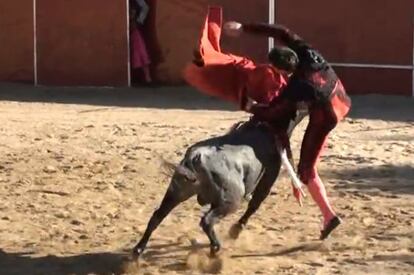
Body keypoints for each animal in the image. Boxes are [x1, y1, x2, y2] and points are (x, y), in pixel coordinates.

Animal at [133, 113, 308, 256]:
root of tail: (195, 157)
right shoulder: (270, 175)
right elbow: (255, 203)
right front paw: (236, 230)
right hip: (230, 202)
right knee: (206, 221)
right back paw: (215, 250)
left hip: (176, 192)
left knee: (157, 216)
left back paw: (138, 250)